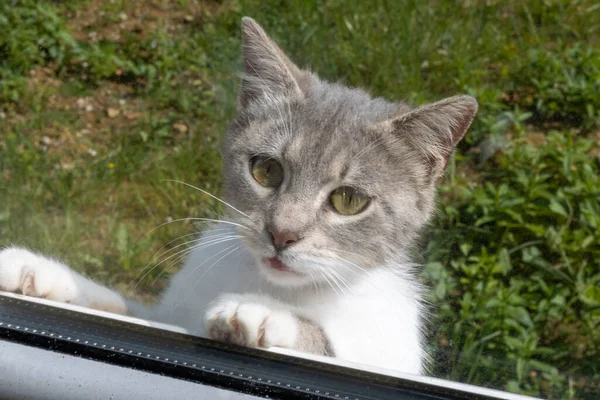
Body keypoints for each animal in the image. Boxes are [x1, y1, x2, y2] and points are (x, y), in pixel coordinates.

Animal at [1, 17, 478, 376]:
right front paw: (39, 272)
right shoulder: (169, 315)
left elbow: (329, 345)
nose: (282, 234)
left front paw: (260, 313)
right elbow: (122, 307)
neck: (274, 284)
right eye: (266, 170)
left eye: (348, 200)